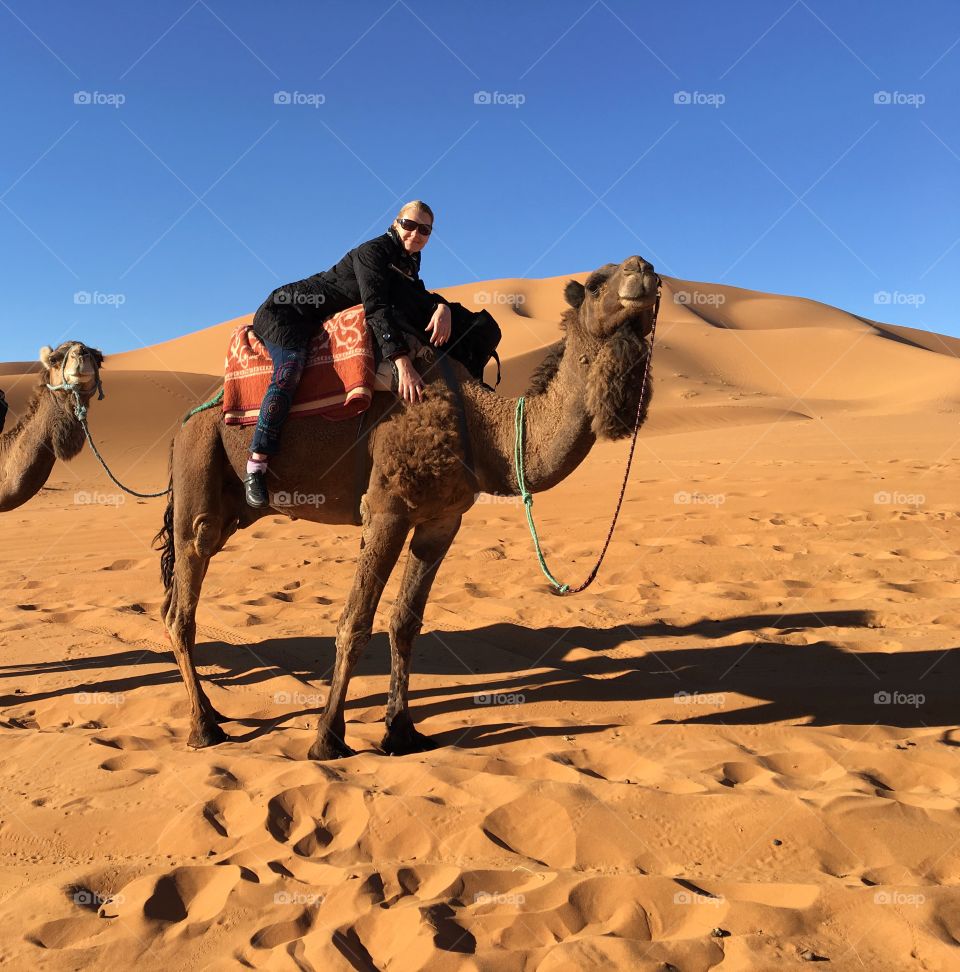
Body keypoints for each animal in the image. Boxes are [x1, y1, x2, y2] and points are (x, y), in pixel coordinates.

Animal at [155, 255, 659, 759]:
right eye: (596, 284)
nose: (644, 268)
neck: (480, 430)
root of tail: (183, 426)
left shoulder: (442, 521)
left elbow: (405, 623)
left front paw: (400, 731)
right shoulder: (387, 512)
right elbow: (355, 623)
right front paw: (327, 739)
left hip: (231, 510)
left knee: (173, 602)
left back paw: (213, 711)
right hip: (200, 475)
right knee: (183, 605)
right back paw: (204, 727)